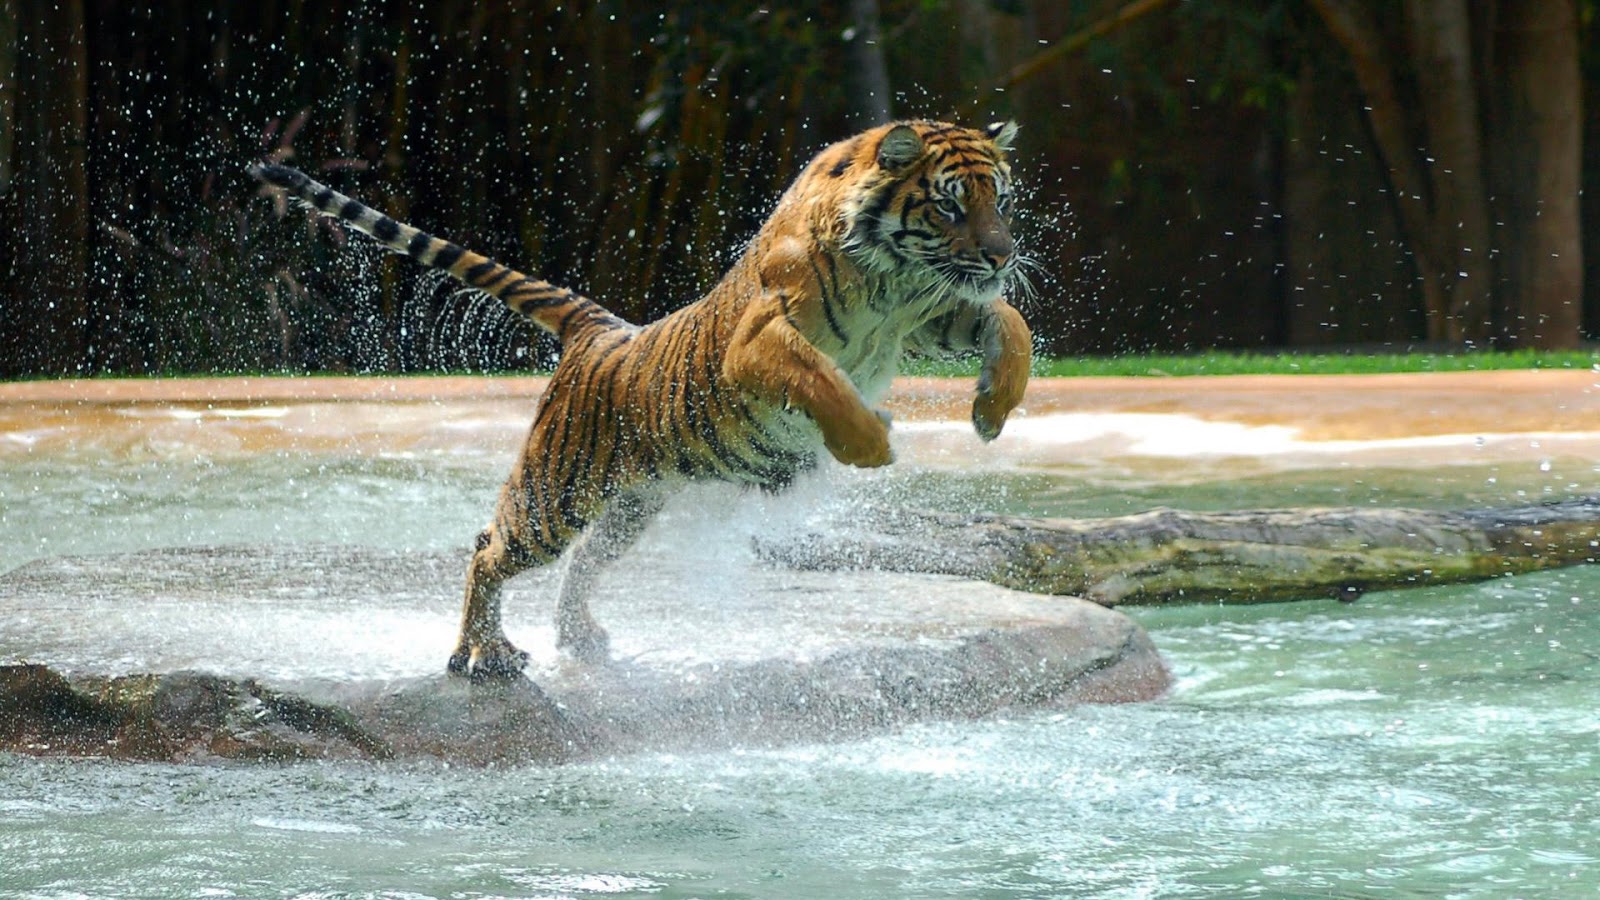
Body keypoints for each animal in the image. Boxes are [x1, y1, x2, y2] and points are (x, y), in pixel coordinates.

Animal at [249, 120, 1024, 679]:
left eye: (1001, 201)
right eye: (950, 203)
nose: (1003, 255)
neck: (893, 280)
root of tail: (599, 330)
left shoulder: (930, 315)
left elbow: (1010, 324)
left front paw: (991, 410)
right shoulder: (762, 340)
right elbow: (824, 380)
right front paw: (871, 442)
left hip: (630, 504)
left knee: (583, 562)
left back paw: (580, 639)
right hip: (555, 492)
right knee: (488, 548)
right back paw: (485, 655)